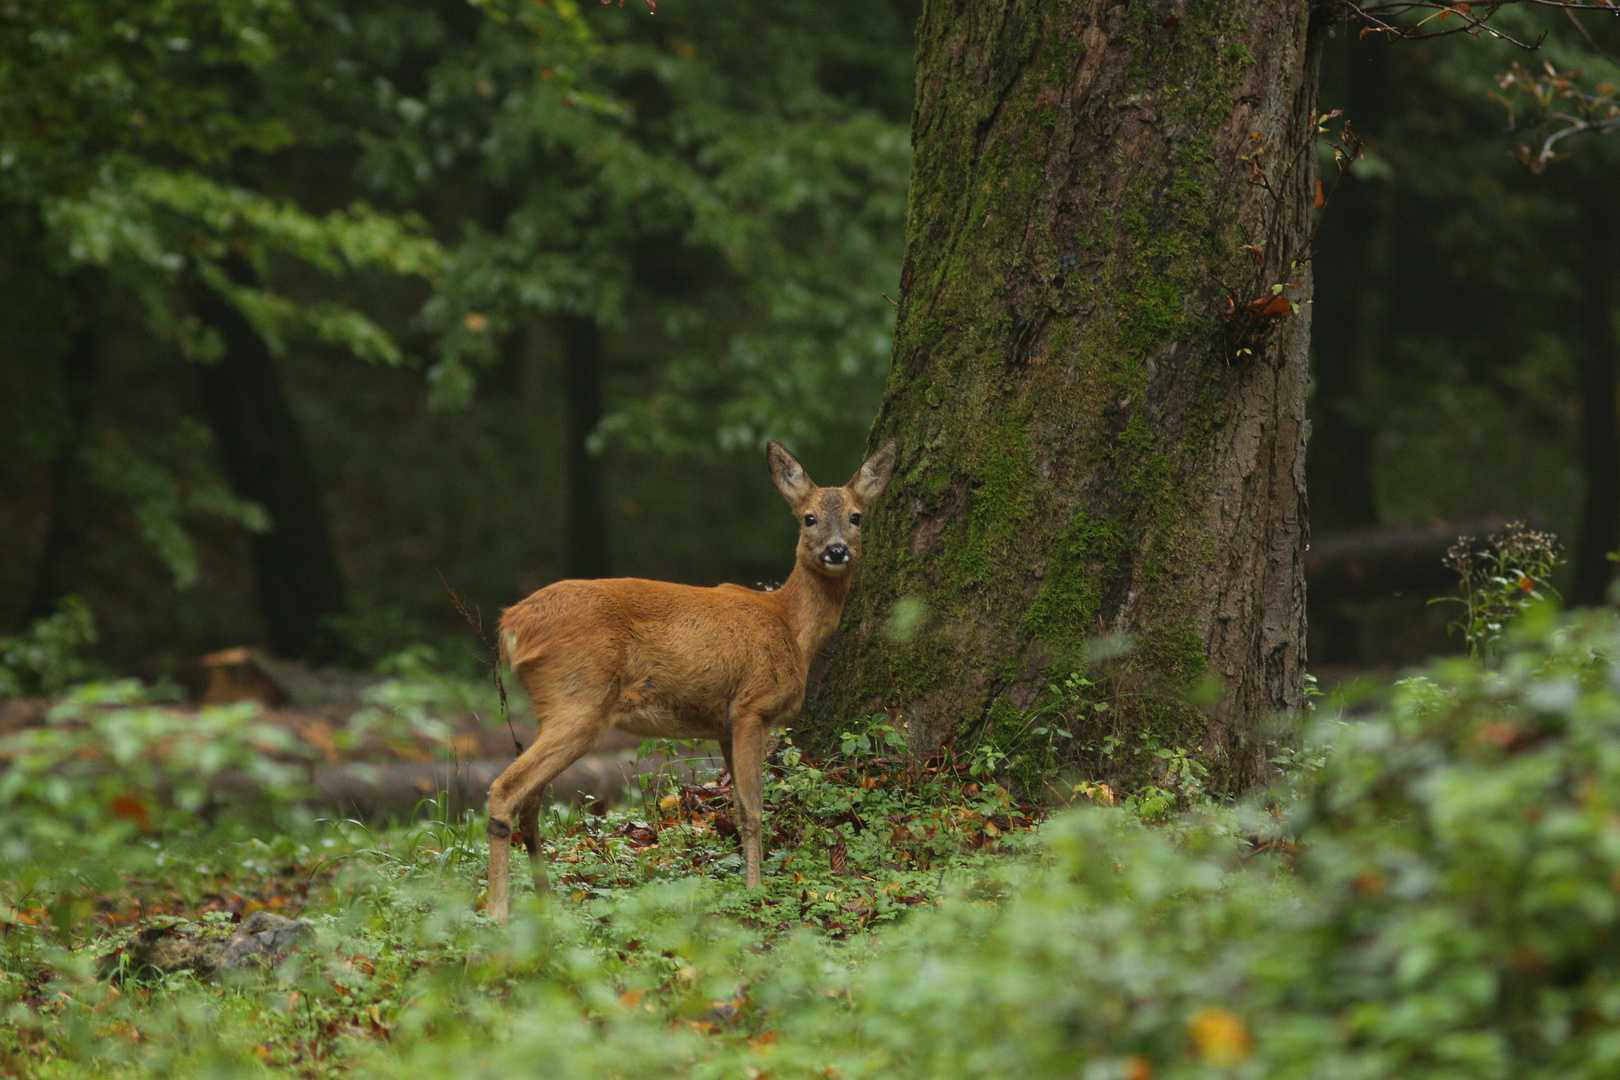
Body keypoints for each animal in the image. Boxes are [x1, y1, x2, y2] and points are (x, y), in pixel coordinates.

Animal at [486, 440, 907, 919]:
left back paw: (545, 905)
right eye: (809, 518)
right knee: (505, 790)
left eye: (856, 516)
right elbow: (753, 810)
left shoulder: (725, 725)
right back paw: (498, 914)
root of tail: (510, 625)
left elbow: (738, 805)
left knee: (530, 799)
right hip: (580, 697)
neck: (790, 626)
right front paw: (754, 891)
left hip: (556, 703)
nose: (836, 551)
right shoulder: (752, 707)